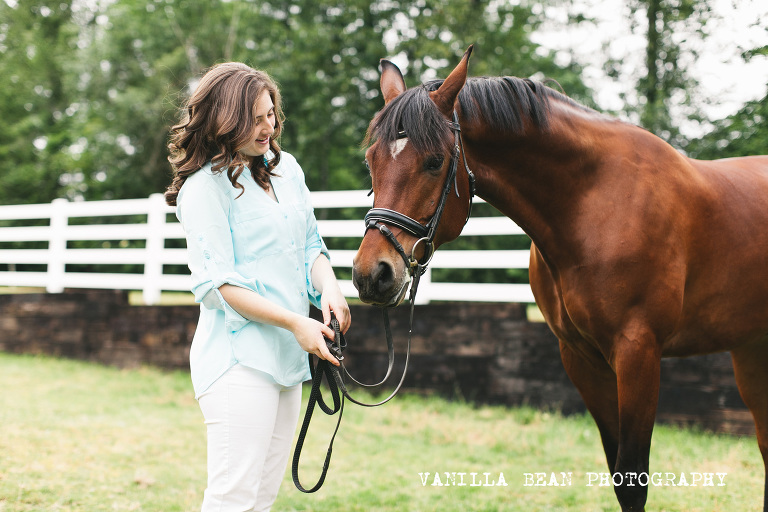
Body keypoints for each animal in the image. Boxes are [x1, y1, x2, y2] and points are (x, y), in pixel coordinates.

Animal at [351, 45, 768, 512]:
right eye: (370, 161)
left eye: (434, 161)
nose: (372, 274)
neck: (594, 202)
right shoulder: (582, 358)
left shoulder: (638, 353)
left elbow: (633, 477)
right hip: (752, 350)